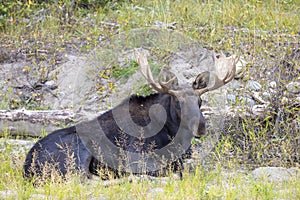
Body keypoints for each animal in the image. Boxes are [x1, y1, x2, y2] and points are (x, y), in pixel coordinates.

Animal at [23, 50, 237, 181]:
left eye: (200, 100)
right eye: (178, 102)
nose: (201, 126)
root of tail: (26, 167)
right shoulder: (138, 157)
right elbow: (176, 169)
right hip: (78, 154)